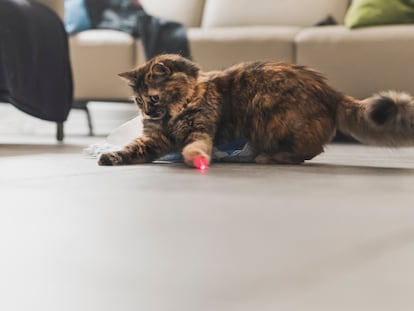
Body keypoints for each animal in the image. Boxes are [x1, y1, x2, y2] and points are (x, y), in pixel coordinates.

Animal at [98, 54, 414, 169]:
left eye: (154, 97)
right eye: (138, 101)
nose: (148, 114)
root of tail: (330, 92)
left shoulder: (200, 128)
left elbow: (196, 145)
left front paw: (197, 159)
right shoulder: (154, 139)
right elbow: (132, 149)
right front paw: (111, 157)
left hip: (275, 120)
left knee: (310, 151)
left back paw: (270, 157)